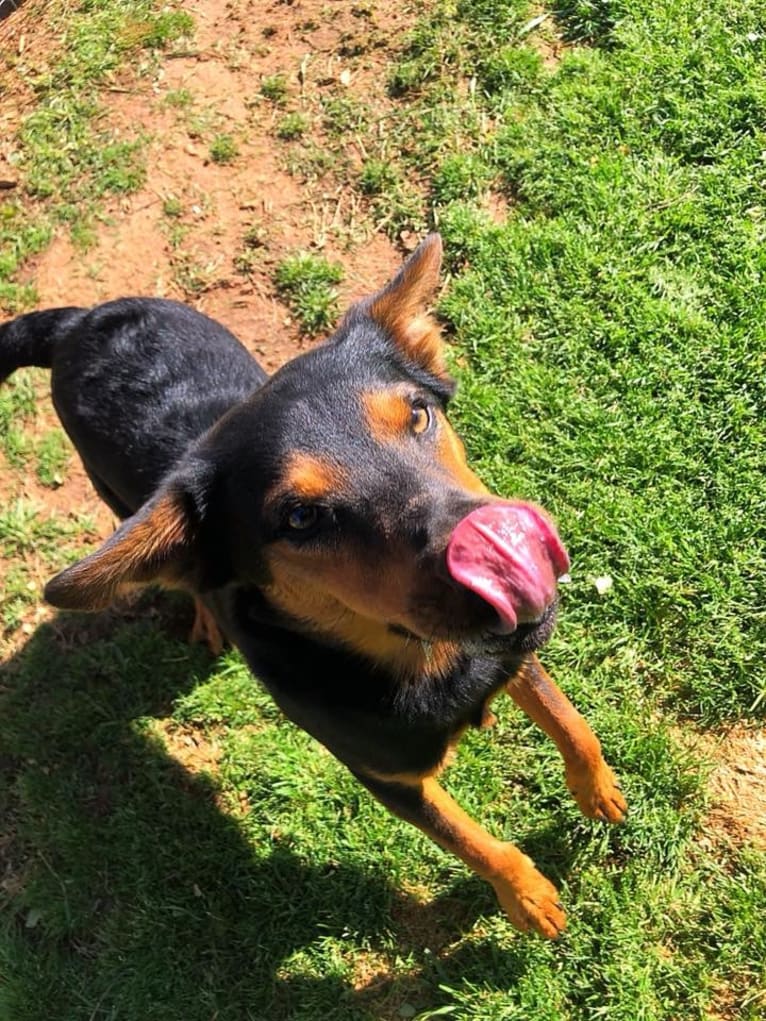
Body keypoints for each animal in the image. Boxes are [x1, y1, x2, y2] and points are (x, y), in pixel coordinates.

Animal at [0, 234, 625, 935]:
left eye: (418, 415)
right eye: (301, 519)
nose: (496, 551)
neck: (416, 658)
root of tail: (77, 322)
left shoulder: (510, 655)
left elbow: (571, 722)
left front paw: (598, 789)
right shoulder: (388, 778)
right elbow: (470, 839)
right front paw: (527, 898)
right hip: (116, 495)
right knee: (179, 570)